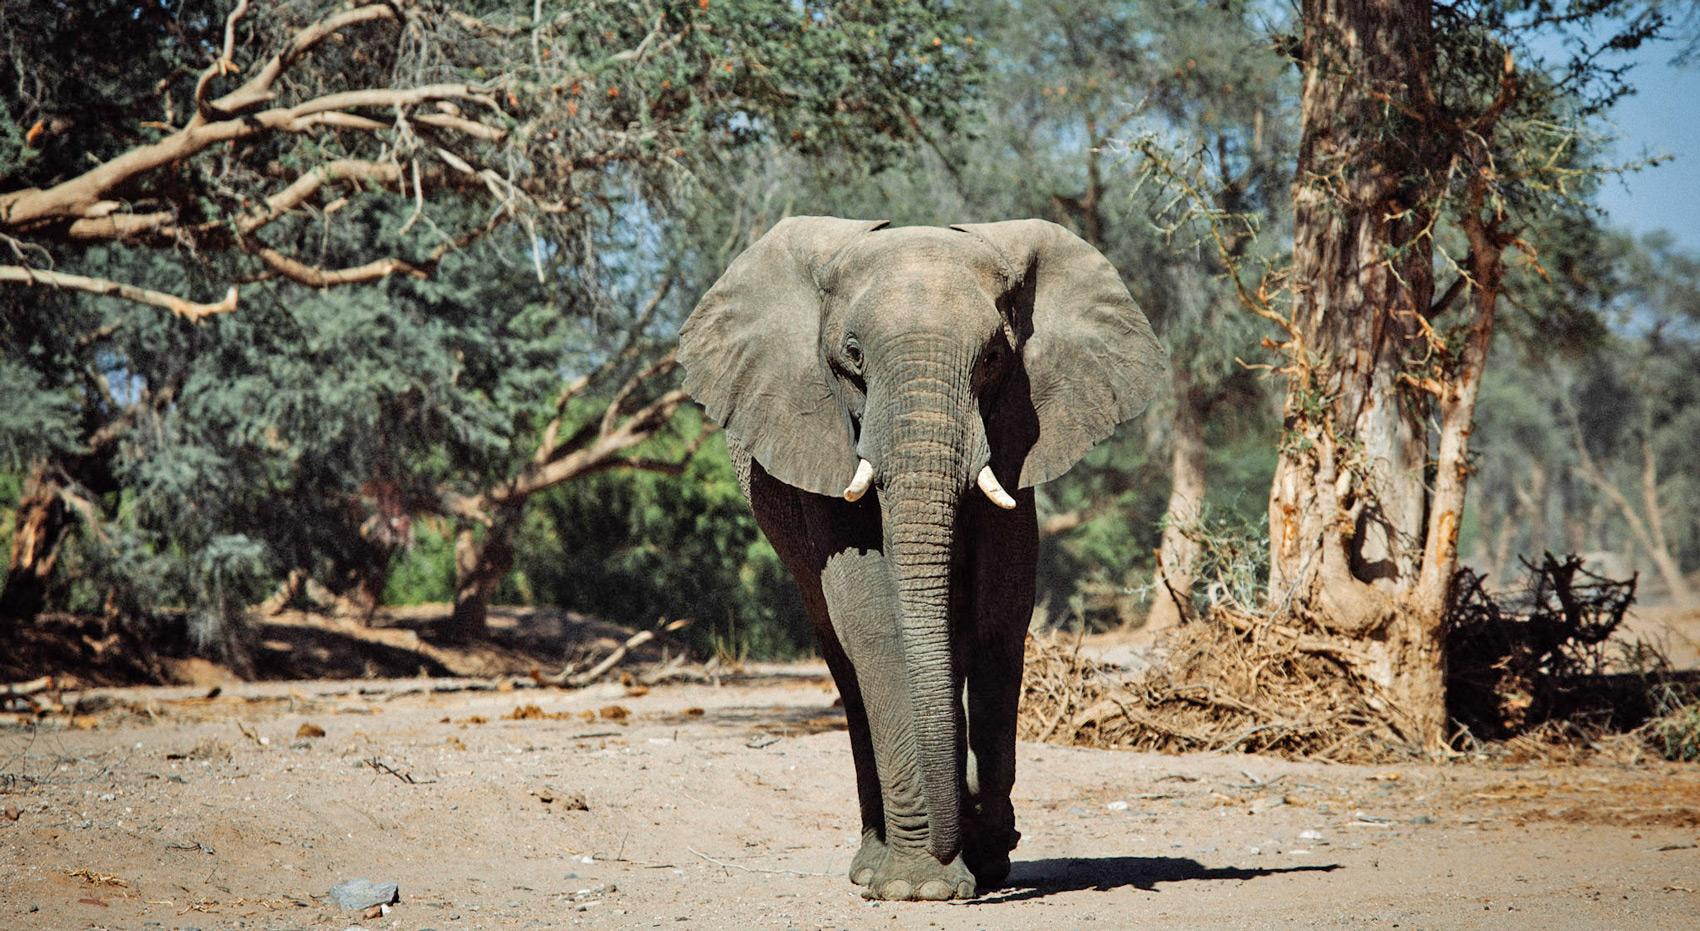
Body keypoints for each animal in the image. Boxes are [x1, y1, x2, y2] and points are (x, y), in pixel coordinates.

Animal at [676, 217, 1166, 901]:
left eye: (993, 359)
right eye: (853, 354)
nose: (970, 842)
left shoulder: (1016, 433)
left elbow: (1000, 611)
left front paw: (982, 853)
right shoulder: (824, 437)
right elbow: (872, 613)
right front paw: (921, 886)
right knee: (844, 658)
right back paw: (872, 864)